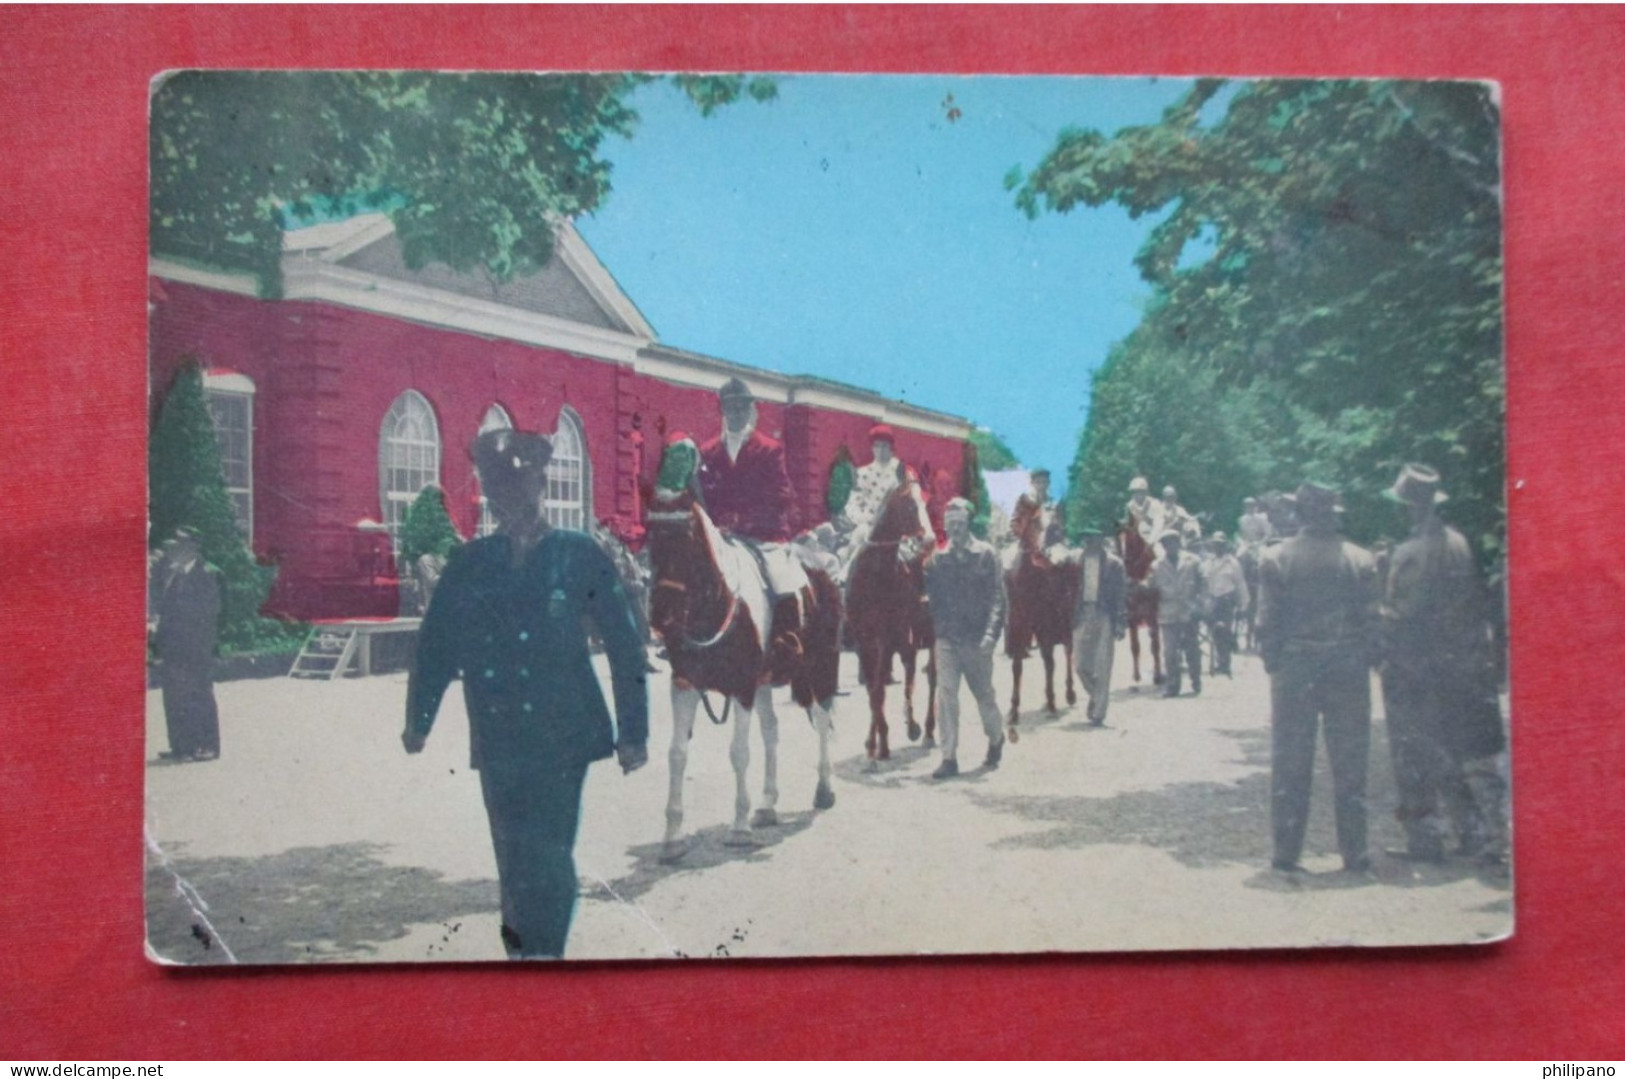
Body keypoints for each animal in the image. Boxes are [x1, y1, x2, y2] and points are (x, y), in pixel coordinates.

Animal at [640, 451, 838, 864]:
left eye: (687, 537)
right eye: (650, 536)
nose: (660, 615)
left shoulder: (743, 687)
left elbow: (739, 752)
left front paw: (739, 828)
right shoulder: (684, 684)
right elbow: (676, 754)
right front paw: (672, 838)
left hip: (818, 669)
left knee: (822, 717)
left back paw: (823, 790)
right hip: (767, 679)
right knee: (772, 731)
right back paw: (767, 805)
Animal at [851, 477, 942, 763]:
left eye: (925, 503)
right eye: (912, 506)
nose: (930, 540)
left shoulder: (895, 639)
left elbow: (889, 688)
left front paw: (900, 731)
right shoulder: (865, 643)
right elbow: (874, 690)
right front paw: (875, 744)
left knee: (931, 677)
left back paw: (926, 730)